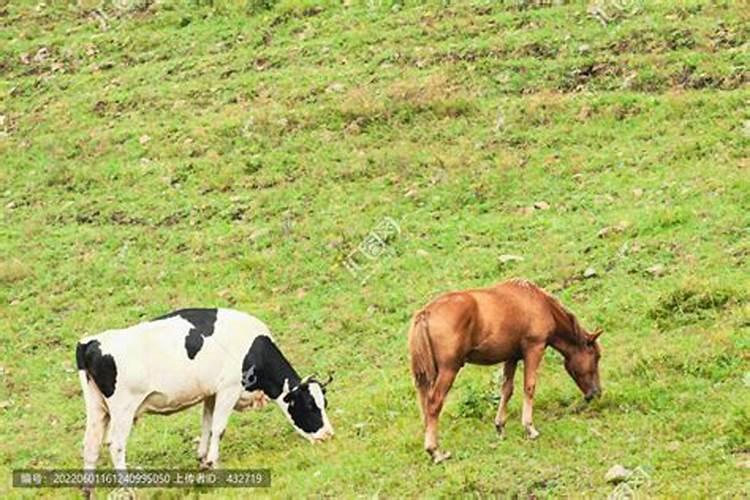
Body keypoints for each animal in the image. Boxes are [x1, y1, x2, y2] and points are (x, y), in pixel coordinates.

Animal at [77, 308, 334, 472]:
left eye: (325, 403)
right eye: (310, 406)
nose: (328, 435)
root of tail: (90, 342)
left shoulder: (211, 393)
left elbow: (207, 426)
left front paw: (202, 458)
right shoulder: (229, 389)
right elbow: (219, 428)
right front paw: (213, 461)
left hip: (97, 408)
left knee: (90, 447)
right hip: (123, 409)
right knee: (116, 446)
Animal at [408, 280, 604, 462]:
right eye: (596, 356)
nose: (596, 392)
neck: (539, 303)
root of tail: (425, 313)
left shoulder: (511, 357)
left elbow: (507, 390)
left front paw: (500, 426)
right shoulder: (534, 348)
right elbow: (529, 387)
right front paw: (529, 428)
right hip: (448, 370)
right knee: (434, 403)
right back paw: (435, 451)